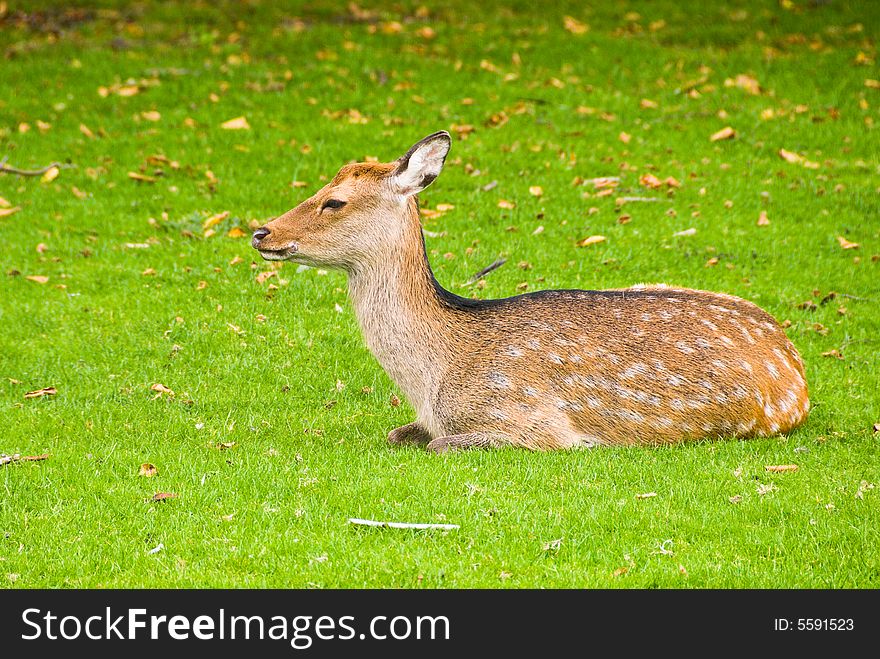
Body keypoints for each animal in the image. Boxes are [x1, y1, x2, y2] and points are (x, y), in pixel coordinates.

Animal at [251, 134, 808, 454]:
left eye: (335, 201)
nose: (261, 232)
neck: (433, 379)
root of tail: (795, 362)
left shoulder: (533, 420)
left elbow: (441, 446)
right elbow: (400, 434)